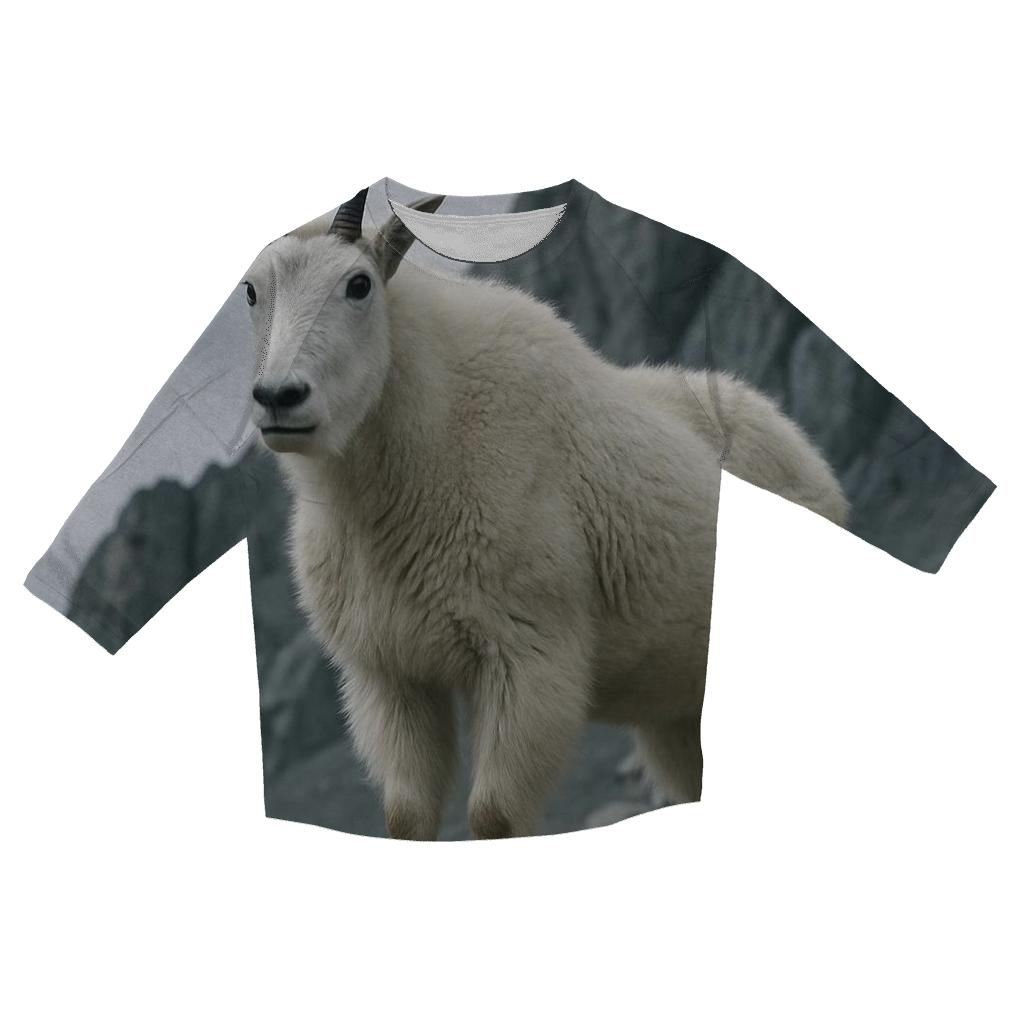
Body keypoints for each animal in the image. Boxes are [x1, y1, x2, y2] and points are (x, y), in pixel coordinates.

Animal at [244, 190, 848, 840]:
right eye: (250, 291)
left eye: (358, 284)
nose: (279, 398)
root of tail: (809, 456)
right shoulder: (390, 674)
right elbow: (406, 818)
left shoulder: (527, 652)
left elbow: (494, 817)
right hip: (679, 711)